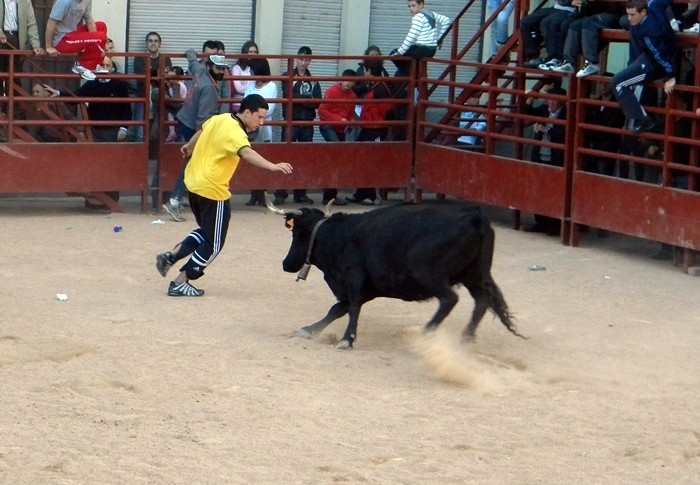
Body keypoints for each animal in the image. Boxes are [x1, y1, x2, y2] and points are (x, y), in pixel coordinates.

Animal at [270, 199, 524, 350]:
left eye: (297, 234)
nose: (286, 263)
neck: (339, 236)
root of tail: (475, 216)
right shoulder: (363, 288)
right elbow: (337, 309)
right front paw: (310, 329)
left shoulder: (355, 281)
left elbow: (351, 308)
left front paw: (347, 339)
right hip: (474, 275)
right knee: (482, 301)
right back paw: (466, 339)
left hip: (429, 276)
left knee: (450, 299)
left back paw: (426, 333)